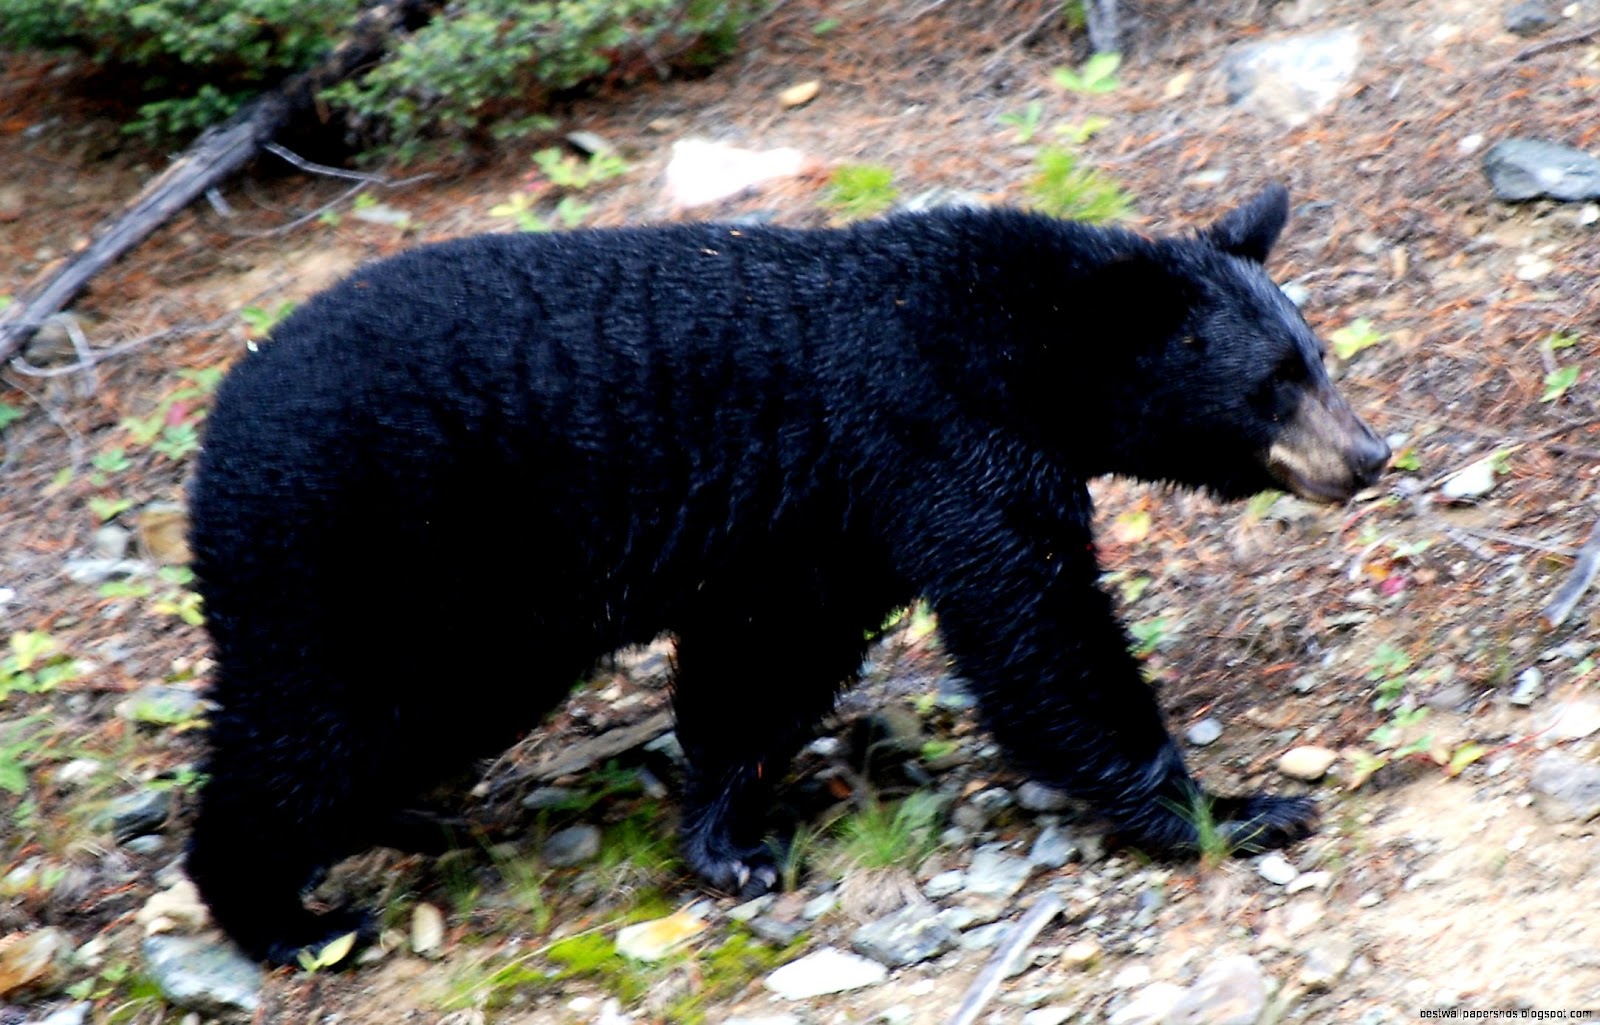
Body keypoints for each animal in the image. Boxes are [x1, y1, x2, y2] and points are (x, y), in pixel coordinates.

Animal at [184, 184, 1389, 964]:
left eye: (1316, 354)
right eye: (1274, 381)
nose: (1369, 452)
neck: (1026, 347)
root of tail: (219, 421)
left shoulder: (828, 519)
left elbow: (766, 660)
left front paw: (728, 840)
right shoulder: (938, 436)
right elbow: (1040, 634)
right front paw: (1234, 807)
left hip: (479, 612)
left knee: (429, 714)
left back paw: (402, 820)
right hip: (354, 550)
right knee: (308, 724)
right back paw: (285, 918)